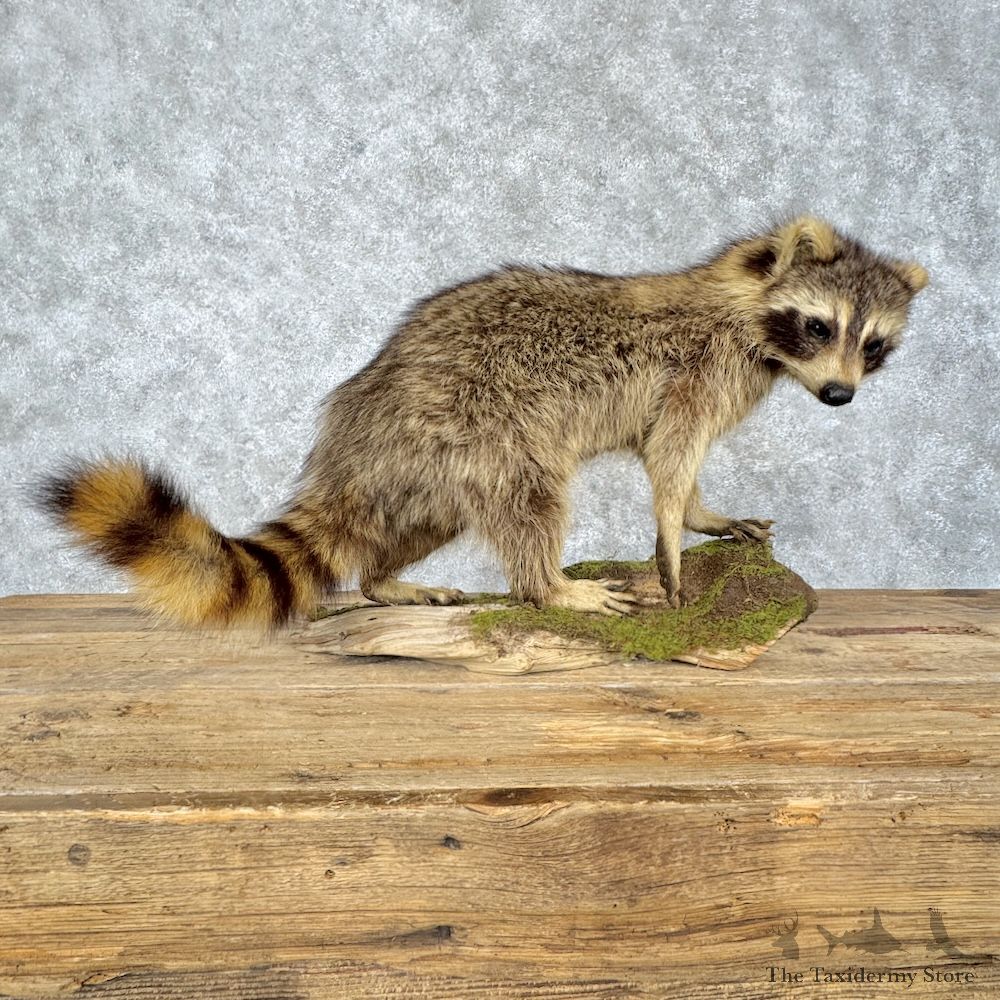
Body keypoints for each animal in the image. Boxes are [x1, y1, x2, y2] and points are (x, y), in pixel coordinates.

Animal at [40, 216, 928, 627]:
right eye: (818, 325)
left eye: (873, 344)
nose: (841, 397)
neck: (744, 306)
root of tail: (361, 424)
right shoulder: (698, 373)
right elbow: (671, 458)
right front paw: (674, 537)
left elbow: (676, 458)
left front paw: (705, 514)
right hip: (480, 421)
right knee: (530, 499)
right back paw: (549, 586)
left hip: (428, 470)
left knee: (419, 523)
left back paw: (385, 577)